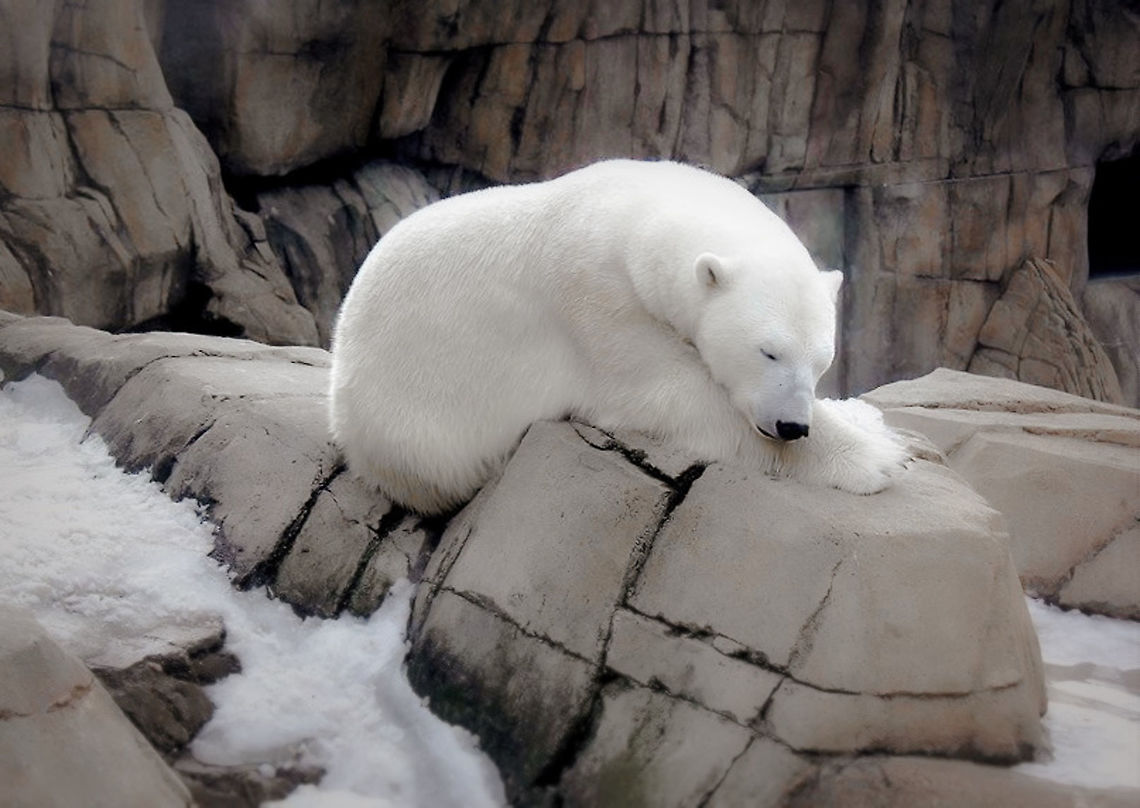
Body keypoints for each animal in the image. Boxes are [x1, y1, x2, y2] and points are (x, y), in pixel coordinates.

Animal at [329, 159, 907, 513]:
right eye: (768, 352)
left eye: (822, 362)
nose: (791, 426)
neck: (630, 213)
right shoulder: (595, 300)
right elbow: (672, 393)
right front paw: (876, 458)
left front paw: (868, 423)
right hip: (409, 426)